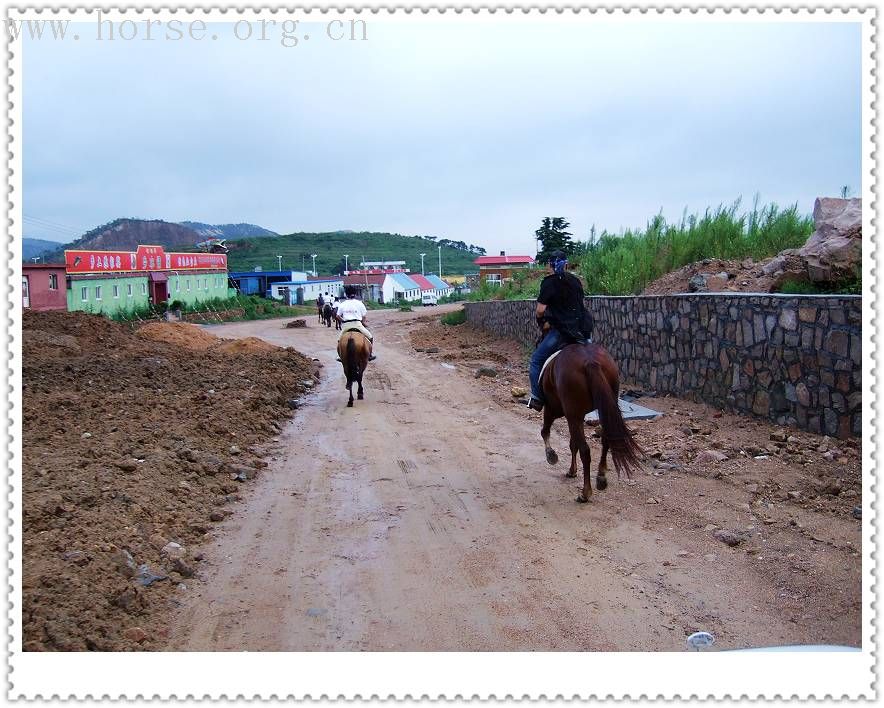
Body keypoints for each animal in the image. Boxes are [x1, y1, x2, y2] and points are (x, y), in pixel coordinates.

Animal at [540, 342, 644, 504]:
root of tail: (590, 362)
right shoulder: (577, 415)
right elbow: (572, 443)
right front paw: (572, 470)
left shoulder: (554, 409)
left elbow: (546, 432)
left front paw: (551, 455)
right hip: (604, 407)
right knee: (606, 440)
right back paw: (601, 477)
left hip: (572, 414)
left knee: (585, 450)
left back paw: (585, 493)